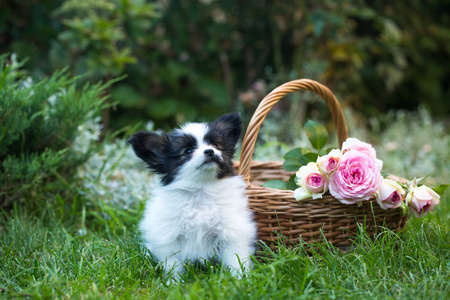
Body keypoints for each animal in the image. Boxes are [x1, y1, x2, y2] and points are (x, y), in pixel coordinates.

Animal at [129, 112, 256, 278]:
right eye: (188, 151)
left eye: (216, 146)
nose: (210, 151)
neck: (201, 189)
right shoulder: (170, 238)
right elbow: (173, 265)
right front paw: (173, 282)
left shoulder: (231, 232)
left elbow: (236, 259)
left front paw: (240, 279)